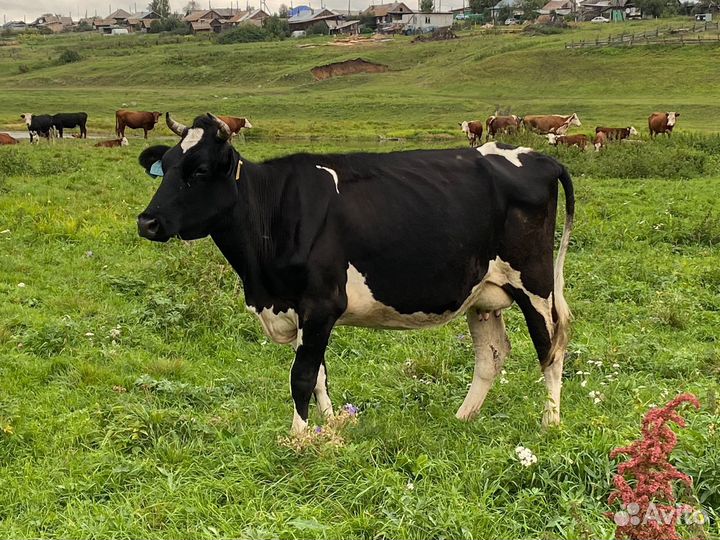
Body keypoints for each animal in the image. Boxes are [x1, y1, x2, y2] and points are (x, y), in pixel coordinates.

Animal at [136, 113, 574, 435]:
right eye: (166, 167)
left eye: (200, 170)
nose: (147, 222)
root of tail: (540, 157)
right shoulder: (298, 308)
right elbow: (319, 375)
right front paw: (330, 428)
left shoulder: (320, 303)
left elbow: (302, 375)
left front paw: (298, 438)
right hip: (483, 293)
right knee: (492, 355)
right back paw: (463, 418)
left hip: (535, 283)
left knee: (550, 348)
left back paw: (550, 422)